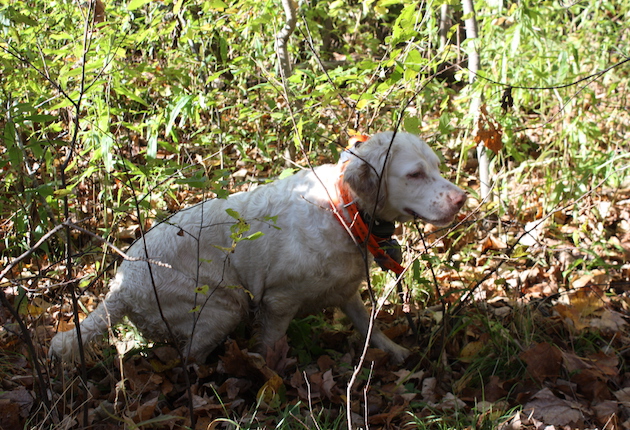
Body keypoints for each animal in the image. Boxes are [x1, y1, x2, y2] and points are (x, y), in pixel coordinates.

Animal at [50, 131, 470, 362]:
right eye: (414, 174)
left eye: (436, 168)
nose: (462, 199)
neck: (344, 211)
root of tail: (121, 286)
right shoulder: (278, 301)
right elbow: (268, 348)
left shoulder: (346, 291)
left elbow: (369, 327)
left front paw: (392, 351)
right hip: (224, 306)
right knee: (189, 358)